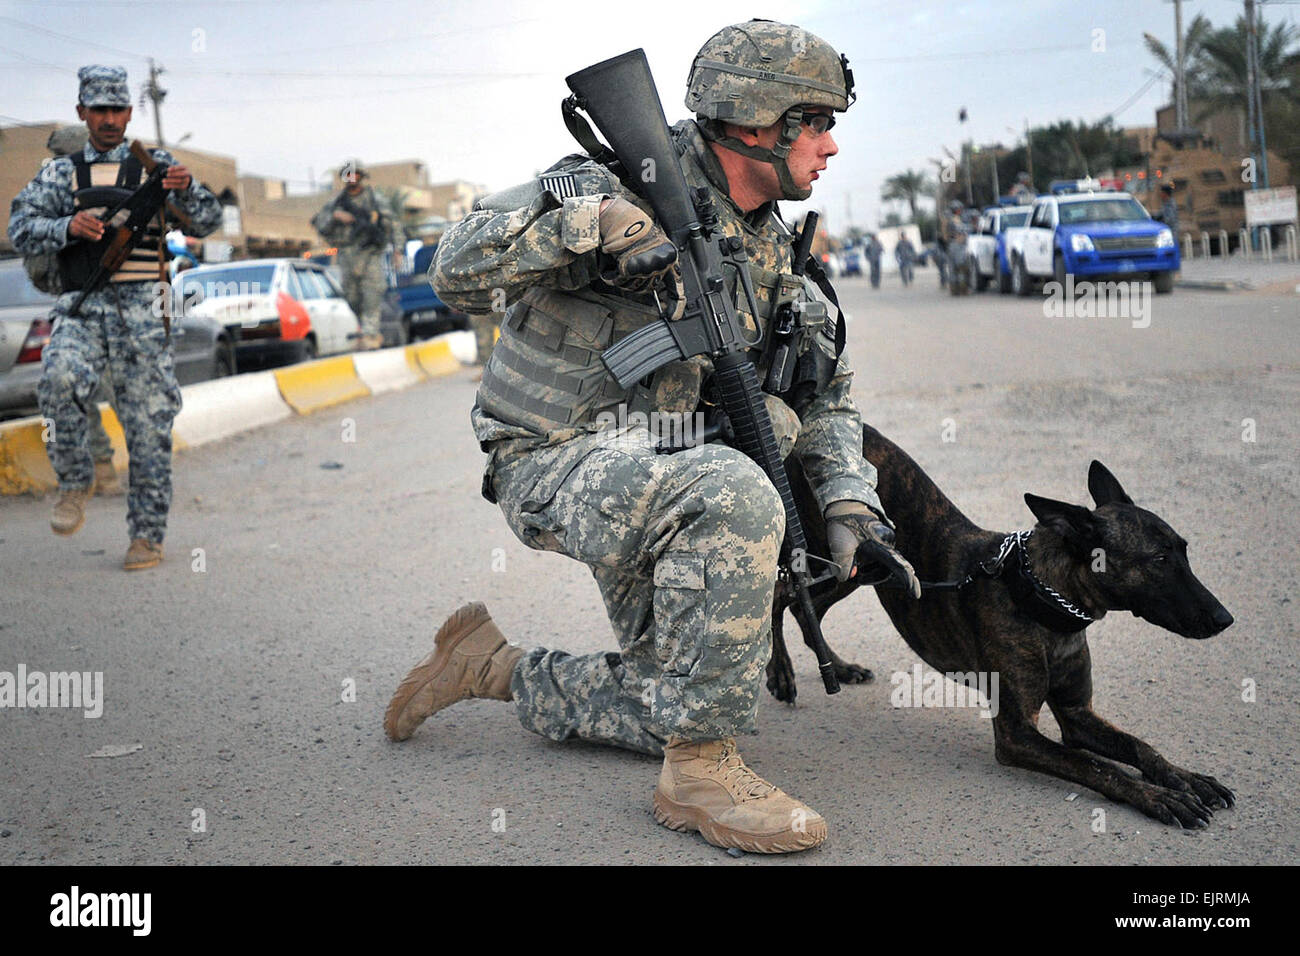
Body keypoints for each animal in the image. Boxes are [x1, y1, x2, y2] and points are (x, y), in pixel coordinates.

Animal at [769, 426, 1237, 832]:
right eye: (1157, 560)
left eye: (1183, 550)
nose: (1224, 618)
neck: (1043, 598)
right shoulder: (1017, 734)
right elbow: (1098, 767)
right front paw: (1159, 797)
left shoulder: (1077, 714)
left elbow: (1139, 745)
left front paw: (1185, 777)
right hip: (823, 553)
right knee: (780, 595)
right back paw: (781, 673)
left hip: (859, 565)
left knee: (805, 608)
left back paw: (838, 667)